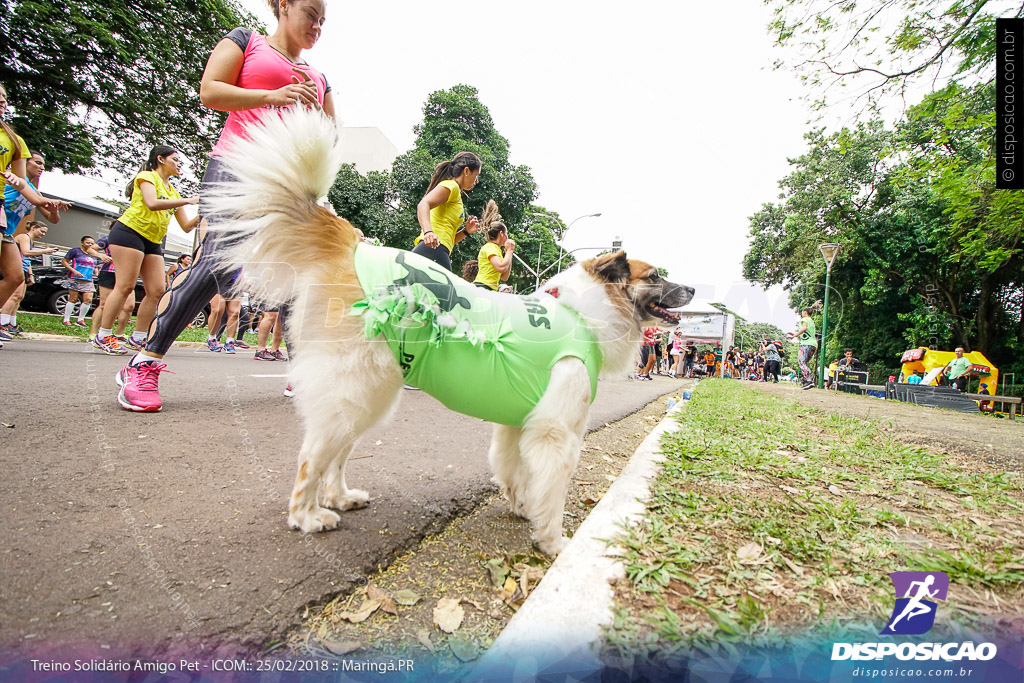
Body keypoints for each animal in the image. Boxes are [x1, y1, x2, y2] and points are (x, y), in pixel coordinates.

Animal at [206, 107, 692, 557]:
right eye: (656, 276)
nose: (690, 289)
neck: (581, 313)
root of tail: (354, 246)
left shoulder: (518, 422)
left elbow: (512, 468)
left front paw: (520, 506)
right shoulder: (556, 434)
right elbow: (551, 490)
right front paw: (553, 541)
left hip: (370, 393)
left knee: (337, 453)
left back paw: (340, 497)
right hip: (358, 387)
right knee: (312, 457)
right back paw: (307, 516)